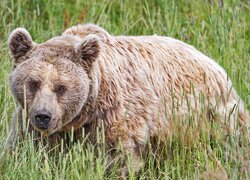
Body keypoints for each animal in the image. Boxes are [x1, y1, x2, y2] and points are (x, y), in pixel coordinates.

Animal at [6, 23, 249, 173]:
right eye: (33, 82)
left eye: (61, 87)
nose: (43, 116)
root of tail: (213, 62)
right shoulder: (29, 123)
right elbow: (22, 151)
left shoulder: (115, 118)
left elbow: (119, 157)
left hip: (210, 116)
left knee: (233, 143)